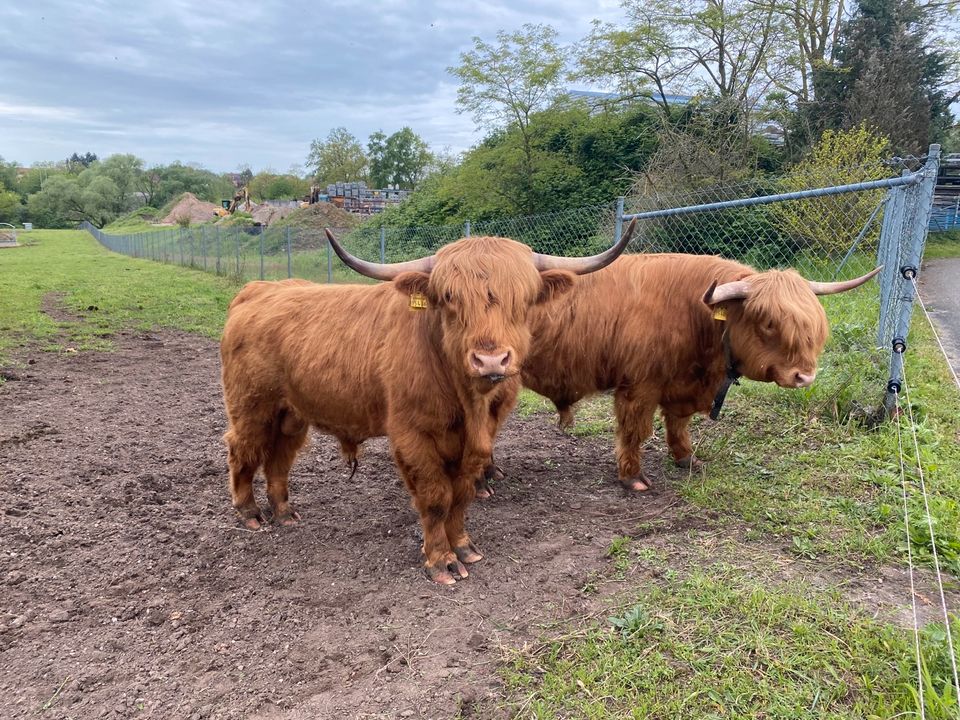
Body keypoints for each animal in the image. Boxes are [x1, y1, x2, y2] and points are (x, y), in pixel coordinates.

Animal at [220, 222, 632, 584]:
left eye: (525, 299)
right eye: (449, 298)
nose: (491, 361)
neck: (466, 401)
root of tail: (257, 290)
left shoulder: (478, 441)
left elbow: (462, 495)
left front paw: (464, 546)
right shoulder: (411, 436)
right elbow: (435, 498)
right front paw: (441, 561)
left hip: (291, 413)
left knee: (279, 457)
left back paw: (284, 512)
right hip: (251, 406)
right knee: (243, 449)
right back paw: (250, 512)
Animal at [512, 255, 880, 496]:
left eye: (812, 326)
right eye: (768, 323)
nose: (805, 377)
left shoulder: (681, 385)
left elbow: (678, 424)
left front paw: (687, 458)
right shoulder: (639, 385)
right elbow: (635, 430)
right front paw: (632, 477)